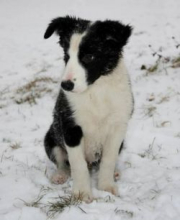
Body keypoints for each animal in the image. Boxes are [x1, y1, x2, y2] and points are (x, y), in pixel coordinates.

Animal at [43, 15, 134, 202]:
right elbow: (77, 164)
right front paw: (82, 193)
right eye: (66, 56)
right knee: (62, 162)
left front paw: (106, 186)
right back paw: (60, 175)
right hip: (50, 138)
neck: (96, 91)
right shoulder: (70, 126)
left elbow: (109, 158)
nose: (66, 85)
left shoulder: (118, 126)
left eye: (89, 57)